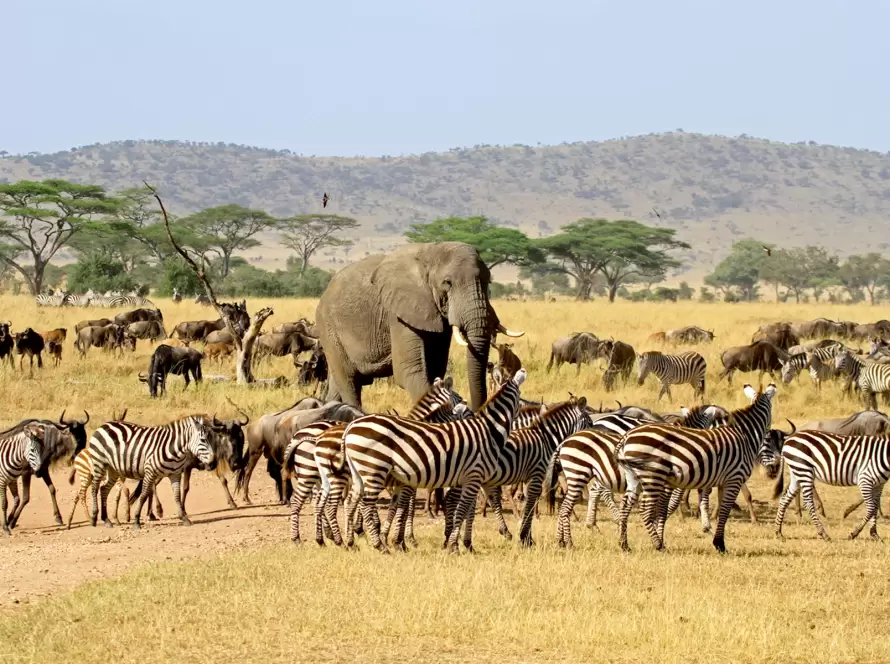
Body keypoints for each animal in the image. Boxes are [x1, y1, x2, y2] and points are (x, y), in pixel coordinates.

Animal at [86, 416, 215, 528]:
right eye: (203, 440)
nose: (213, 463)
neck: (174, 450)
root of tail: (105, 424)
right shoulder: (150, 472)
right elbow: (143, 496)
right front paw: (136, 520)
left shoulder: (175, 474)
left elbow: (177, 496)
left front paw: (184, 518)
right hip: (99, 463)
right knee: (95, 488)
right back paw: (93, 518)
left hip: (113, 469)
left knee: (104, 489)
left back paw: (106, 520)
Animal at [316, 244, 520, 410]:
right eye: (447, 283)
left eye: (488, 282)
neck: (432, 251)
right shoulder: (398, 313)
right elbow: (409, 371)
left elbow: (435, 368)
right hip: (329, 330)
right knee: (349, 382)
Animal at [338, 370, 520, 552]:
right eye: (461, 400)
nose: (474, 416)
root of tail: (350, 427)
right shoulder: (409, 482)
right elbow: (406, 507)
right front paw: (402, 540)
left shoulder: (406, 482)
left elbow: (399, 507)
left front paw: (396, 538)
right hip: (372, 470)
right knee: (363, 503)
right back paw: (372, 543)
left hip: (360, 474)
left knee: (351, 502)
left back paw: (351, 541)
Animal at [442, 396, 592, 548]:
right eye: (590, 422)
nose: (590, 437)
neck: (544, 438)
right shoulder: (536, 474)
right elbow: (530, 503)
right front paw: (525, 537)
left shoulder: (529, 477)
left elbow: (527, 504)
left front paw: (527, 536)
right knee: (454, 501)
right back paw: (452, 538)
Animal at [612, 382, 772, 552]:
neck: (744, 435)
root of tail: (626, 437)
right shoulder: (734, 478)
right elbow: (723, 510)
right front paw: (719, 543)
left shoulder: (722, 481)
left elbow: (716, 507)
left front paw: (713, 534)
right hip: (653, 475)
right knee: (645, 509)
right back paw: (657, 544)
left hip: (634, 477)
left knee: (625, 505)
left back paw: (624, 543)